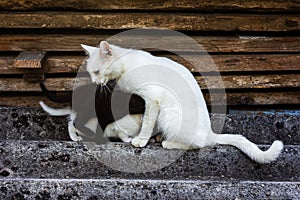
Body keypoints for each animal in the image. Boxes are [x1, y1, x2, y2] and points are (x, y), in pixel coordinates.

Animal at [81, 41, 284, 163]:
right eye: (91, 73)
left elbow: (146, 123)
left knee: (197, 145)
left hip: (169, 114)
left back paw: (169, 143)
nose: (94, 82)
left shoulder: (153, 99)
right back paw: (161, 137)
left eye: (97, 72)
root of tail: (210, 133)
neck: (125, 67)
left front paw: (141, 140)